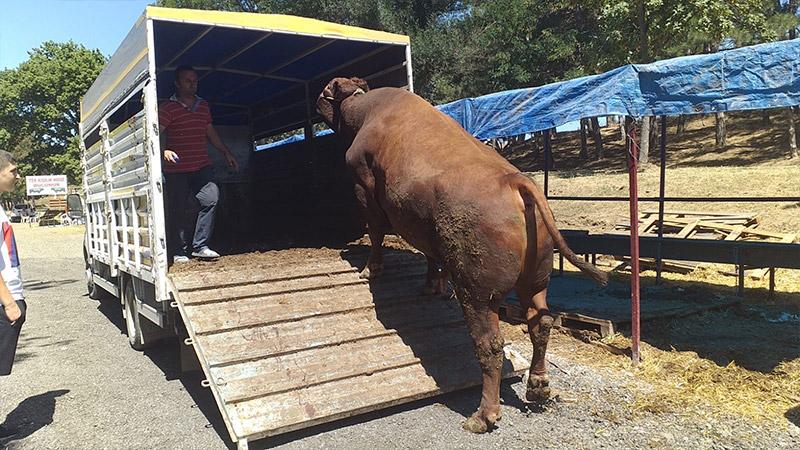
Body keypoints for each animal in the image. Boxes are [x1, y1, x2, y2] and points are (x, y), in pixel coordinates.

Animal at [318, 77, 608, 432]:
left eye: (326, 91)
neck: (366, 110)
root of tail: (517, 181)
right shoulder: (419, 221)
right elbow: (430, 255)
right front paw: (432, 285)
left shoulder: (363, 184)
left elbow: (374, 231)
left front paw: (371, 269)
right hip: (536, 278)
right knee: (540, 323)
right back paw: (538, 387)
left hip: (478, 289)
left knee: (490, 345)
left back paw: (484, 415)